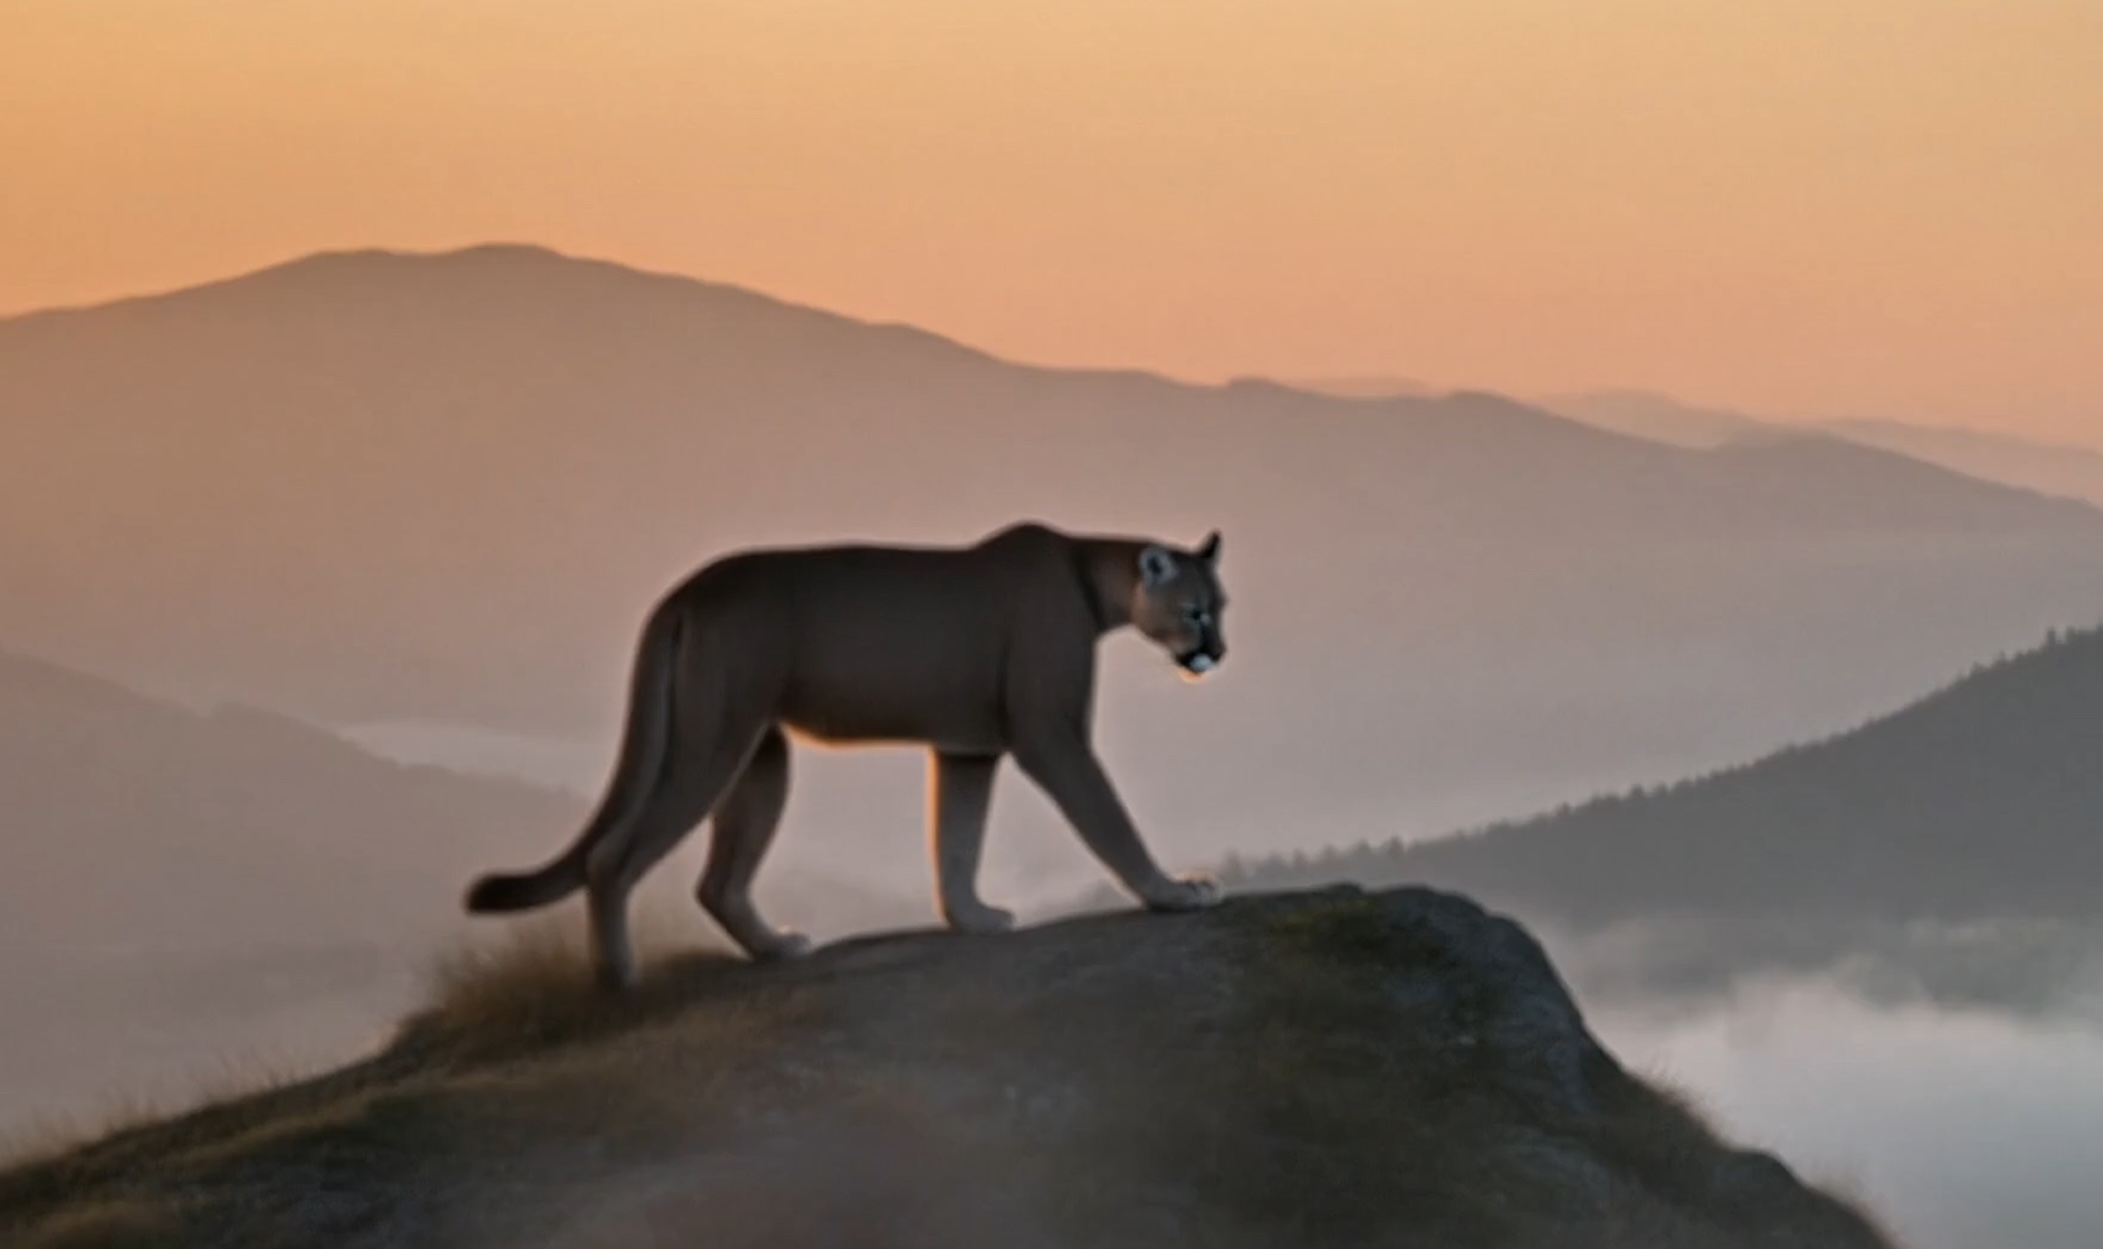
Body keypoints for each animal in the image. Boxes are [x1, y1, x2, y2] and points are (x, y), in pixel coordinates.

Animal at [463, 521, 1230, 989]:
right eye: (1194, 610)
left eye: (1221, 606)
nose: (1217, 652)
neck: (1092, 580)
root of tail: (682, 592)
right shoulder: (1052, 735)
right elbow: (1109, 819)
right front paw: (1174, 892)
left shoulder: (967, 749)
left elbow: (957, 841)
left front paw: (974, 918)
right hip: (712, 739)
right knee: (611, 858)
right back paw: (621, 978)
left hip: (760, 753)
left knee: (718, 881)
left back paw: (776, 947)